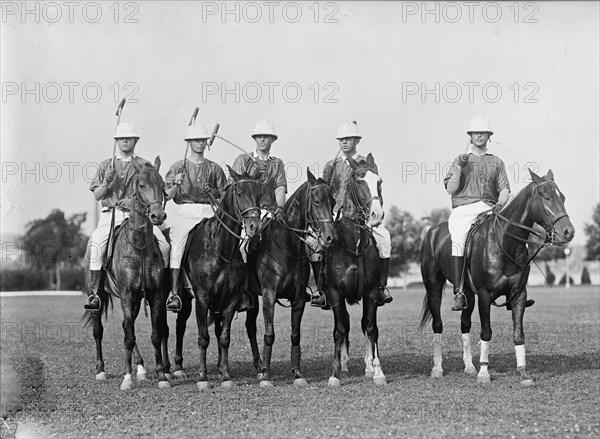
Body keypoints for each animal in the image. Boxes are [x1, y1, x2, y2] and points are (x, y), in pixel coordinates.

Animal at [83, 156, 171, 390]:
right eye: (141, 185)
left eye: (162, 185)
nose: (158, 215)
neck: (139, 247)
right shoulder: (126, 293)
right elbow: (128, 336)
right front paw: (127, 378)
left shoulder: (153, 294)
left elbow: (154, 334)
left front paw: (161, 375)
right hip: (97, 294)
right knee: (99, 329)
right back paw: (101, 370)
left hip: (136, 300)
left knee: (127, 326)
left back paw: (140, 368)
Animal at [171, 169, 260, 392]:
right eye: (239, 193)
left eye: (259, 193)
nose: (254, 227)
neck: (220, 249)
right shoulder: (202, 299)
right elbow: (204, 338)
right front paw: (203, 377)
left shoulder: (230, 299)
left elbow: (225, 337)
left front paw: (226, 375)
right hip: (186, 298)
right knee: (180, 326)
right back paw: (178, 367)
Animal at [244, 170, 338, 386]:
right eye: (317, 201)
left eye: (333, 202)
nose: (330, 237)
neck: (286, 247)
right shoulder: (269, 296)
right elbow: (269, 334)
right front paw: (267, 376)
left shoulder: (298, 298)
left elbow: (296, 335)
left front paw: (297, 373)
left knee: (250, 327)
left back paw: (258, 366)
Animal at [322, 153, 386, 386]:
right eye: (359, 181)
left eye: (379, 182)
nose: (377, 215)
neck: (354, 245)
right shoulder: (335, 294)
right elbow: (339, 330)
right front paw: (334, 374)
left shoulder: (371, 293)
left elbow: (371, 328)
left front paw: (378, 371)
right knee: (346, 324)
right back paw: (345, 364)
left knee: (364, 323)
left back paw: (368, 366)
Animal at [420, 170, 576, 386]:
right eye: (546, 197)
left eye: (563, 197)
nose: (568, 232)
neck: (505, 242)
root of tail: (432, 231)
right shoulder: (485, 296)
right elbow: (486, 332)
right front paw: (484, 373)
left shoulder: (518, 295)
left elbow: (518, 334)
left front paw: (523, 373)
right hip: (434, 286)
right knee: (438, 324)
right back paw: (437, 369)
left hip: (467, 293)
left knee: (464, 323)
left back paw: (469, 367)